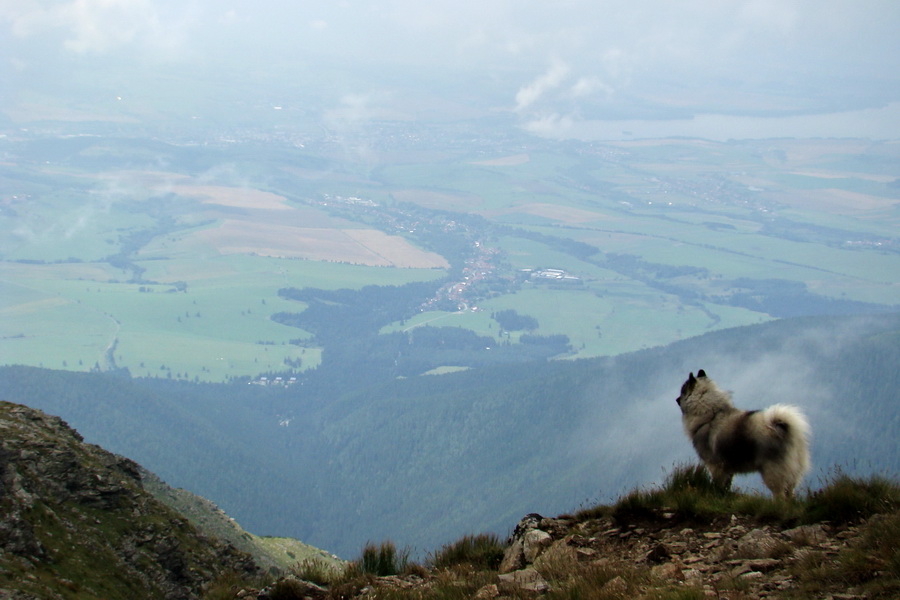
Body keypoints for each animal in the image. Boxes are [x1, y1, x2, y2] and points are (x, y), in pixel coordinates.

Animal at [676, 370, 808, 496]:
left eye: (683, 391)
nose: (676, 399)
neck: (710, 415)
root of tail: (786, 429)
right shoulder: (727, 469)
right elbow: (726, 485)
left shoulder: (715, 466)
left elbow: (718, 483)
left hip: (772, 471)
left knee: (780, 494)